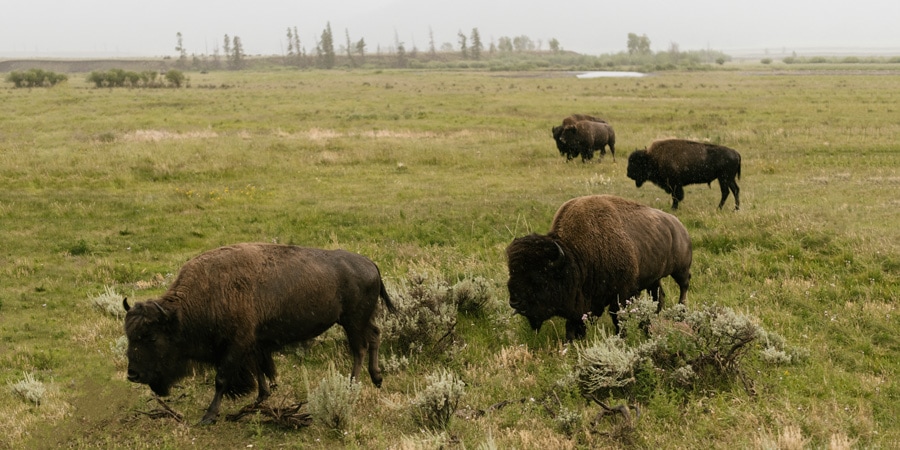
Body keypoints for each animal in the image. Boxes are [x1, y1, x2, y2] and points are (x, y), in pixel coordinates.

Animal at [121, 241, 396, 424]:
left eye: (151, 337)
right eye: (129, 336)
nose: (133, 374)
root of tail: (371, 264)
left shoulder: (236, 344)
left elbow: (222, 379)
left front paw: (209, 416)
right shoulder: (251, 342)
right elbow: (258, 370)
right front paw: (260, 398)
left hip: (352, 321)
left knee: (359, 348)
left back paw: (352, 385)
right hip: (360, 320)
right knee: (375, 335)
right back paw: (377, 378)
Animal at [506, 195, 696, 340]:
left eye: (539, 278)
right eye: (512, 273)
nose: (514, 302)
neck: (574, 255)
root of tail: (680, 227)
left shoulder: (621, 294)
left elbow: (617, 317)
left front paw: (621, 336)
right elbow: (575, 322)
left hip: (680, 270)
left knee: (684, 286)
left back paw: (681, 311)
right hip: (653, 278)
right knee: (659, 296)